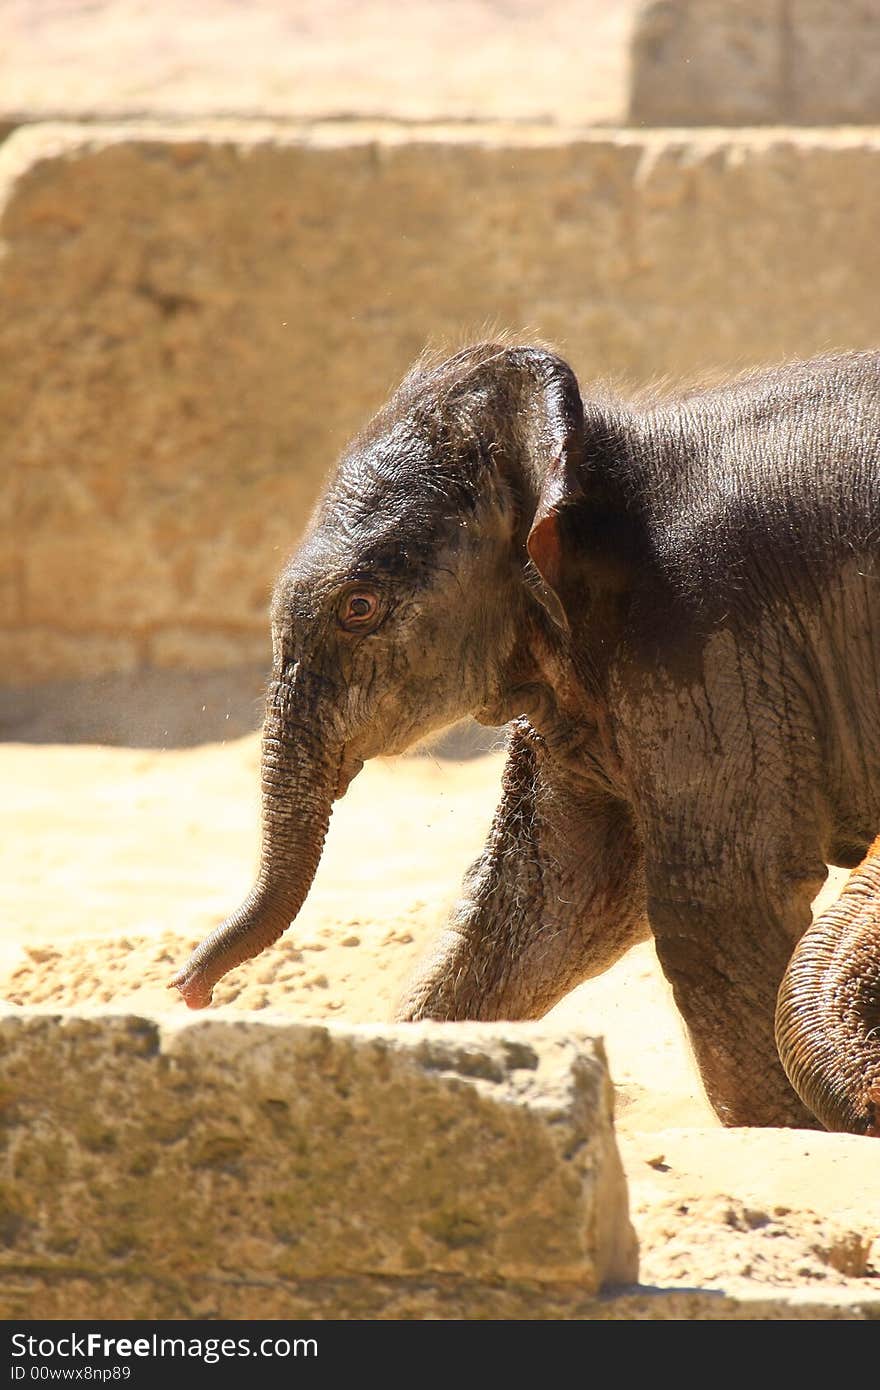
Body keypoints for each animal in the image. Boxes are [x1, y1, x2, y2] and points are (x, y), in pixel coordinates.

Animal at [171, 341, 878, 1134]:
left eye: (359, 608)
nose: (188, 990)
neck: (587, 454)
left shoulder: (706, 635)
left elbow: (718, 896)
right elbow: (552, 897)